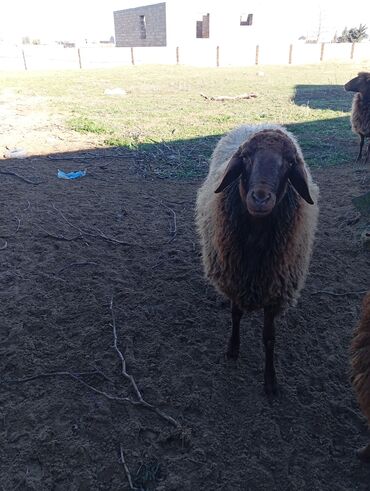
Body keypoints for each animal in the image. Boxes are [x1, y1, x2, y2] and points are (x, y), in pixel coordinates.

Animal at [195, 124, 320, 396]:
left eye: (290, 162)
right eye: (246, 157)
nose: (261, 198)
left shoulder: (275, 291)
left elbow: (269, 338)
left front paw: (270, 381)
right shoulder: (234, 278)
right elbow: (235, 315)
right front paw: (232, 348)